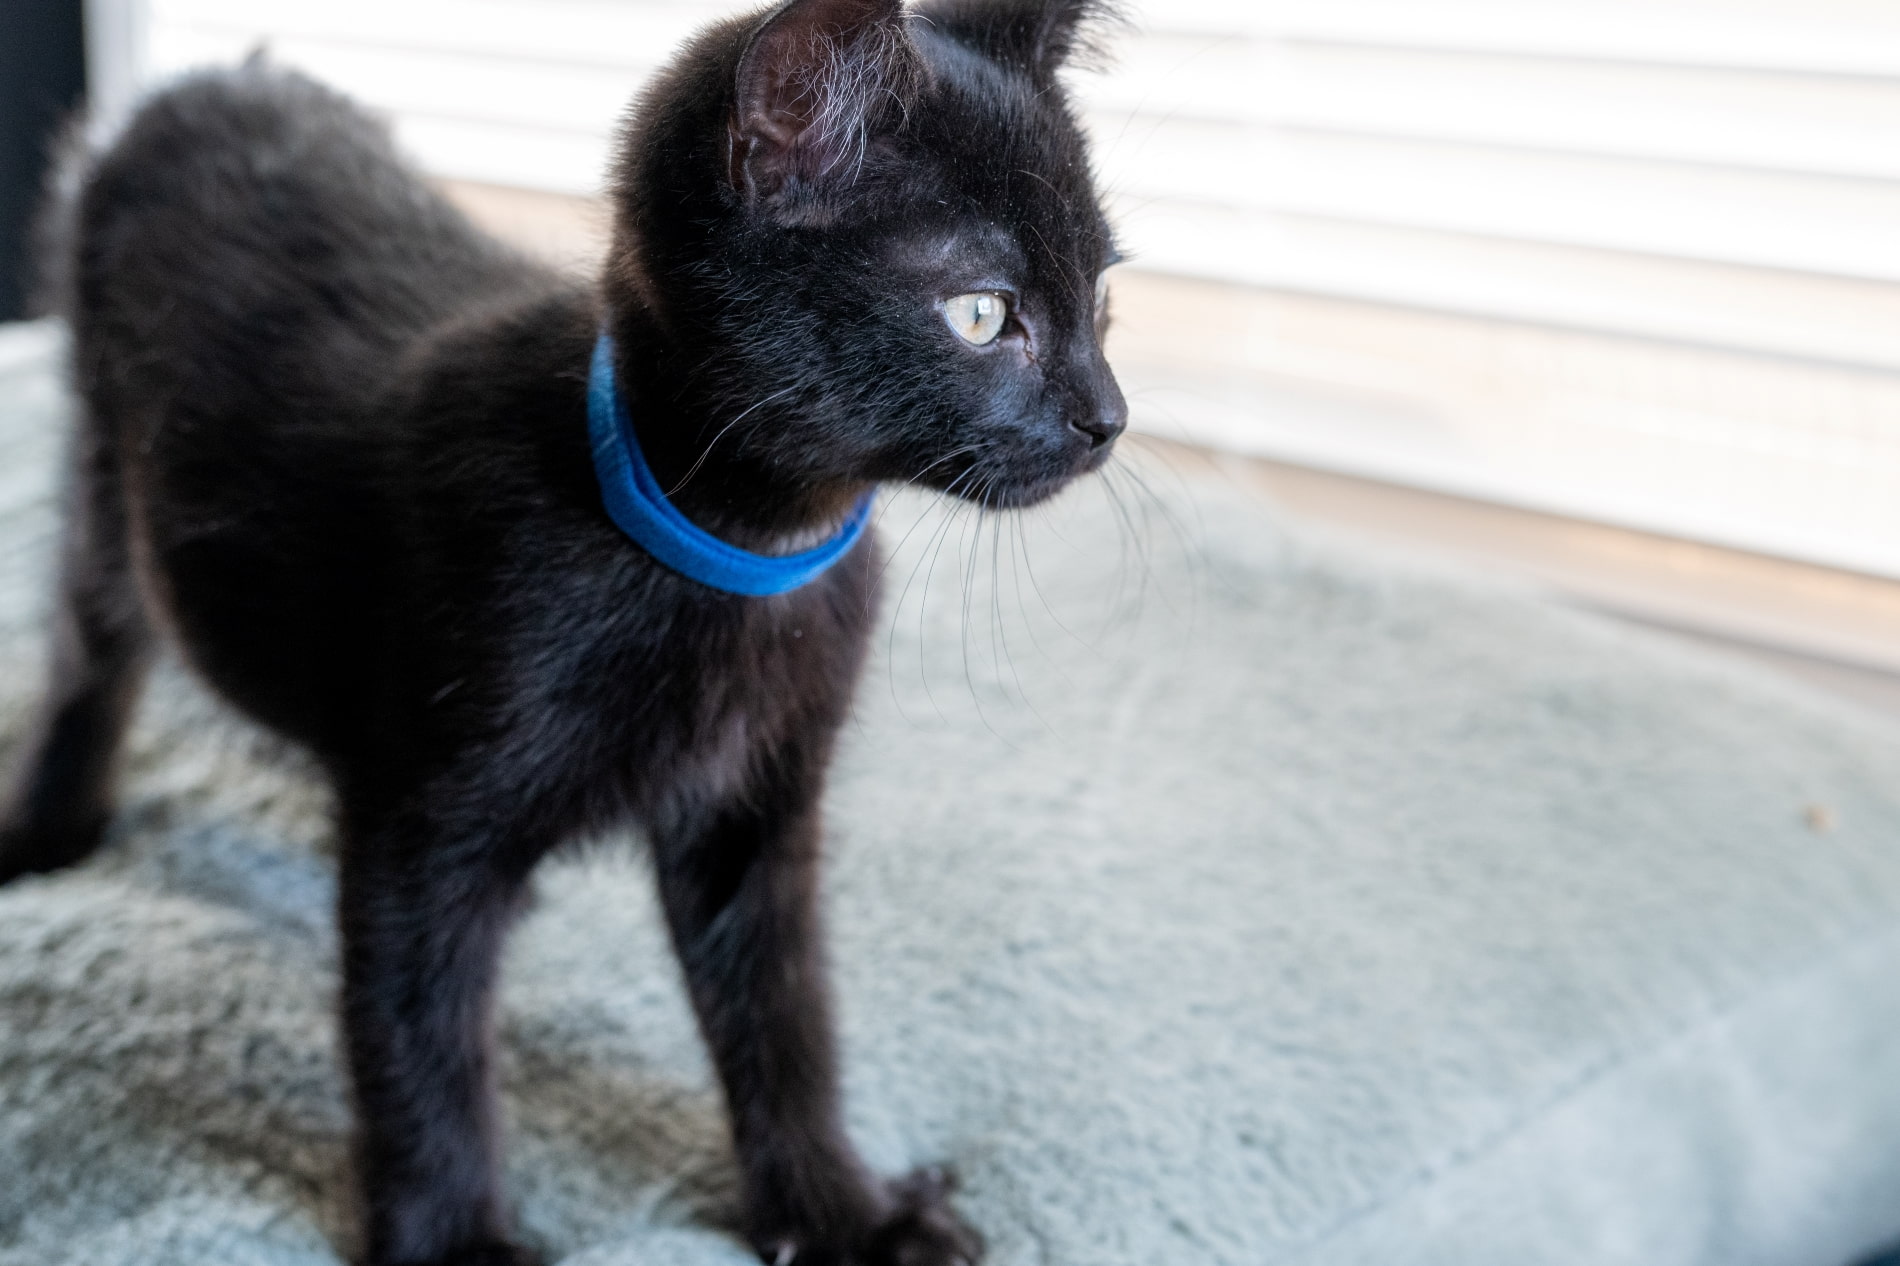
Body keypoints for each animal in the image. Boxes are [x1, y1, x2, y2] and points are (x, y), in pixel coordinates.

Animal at [0, 0, 1125, 1262]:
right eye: (981, 313)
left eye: (1101, 298)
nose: (1108, 419)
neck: (739, 551)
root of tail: (203, 85)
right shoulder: (426, 825)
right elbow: (418, 1038)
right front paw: (455, 1242)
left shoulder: (756, 811)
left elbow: (783, 1016)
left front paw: (841, 1213)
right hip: (107, 474)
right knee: (89, 647)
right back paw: (43, 829)